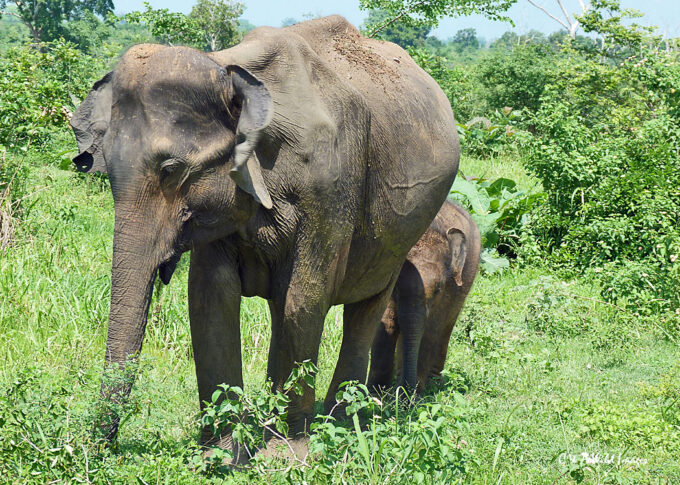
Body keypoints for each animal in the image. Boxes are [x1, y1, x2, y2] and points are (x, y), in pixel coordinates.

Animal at [70, 15, 460, 447]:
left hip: (403, 231)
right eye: (106, 171)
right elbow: (209, 296)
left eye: (171, 170)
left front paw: (285, 450)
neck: (227, 67)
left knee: (366, 306)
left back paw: (341, 423)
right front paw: (223, 451)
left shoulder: (331, 186)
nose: (99, 447)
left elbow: (304, 300)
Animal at [368, 200, 480, 392]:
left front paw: (411, 397)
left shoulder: (449, 290)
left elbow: (429, 330)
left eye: (438, 289)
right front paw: (373, 394)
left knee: (446, 326)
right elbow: (387, 324)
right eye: (395, 286)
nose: (405, 391)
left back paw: (434, 384)